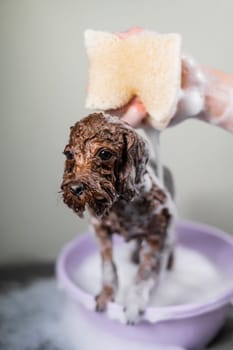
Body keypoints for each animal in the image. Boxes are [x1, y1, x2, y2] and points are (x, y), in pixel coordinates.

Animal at [61, 112, 176, 322]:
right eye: (69, 154)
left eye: (104, 153)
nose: (74, 188)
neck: (121, 205)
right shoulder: (100, 229)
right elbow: (108, 266)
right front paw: (107, 294)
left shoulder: (157, 235)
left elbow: (145, 273)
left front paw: (135, 303)